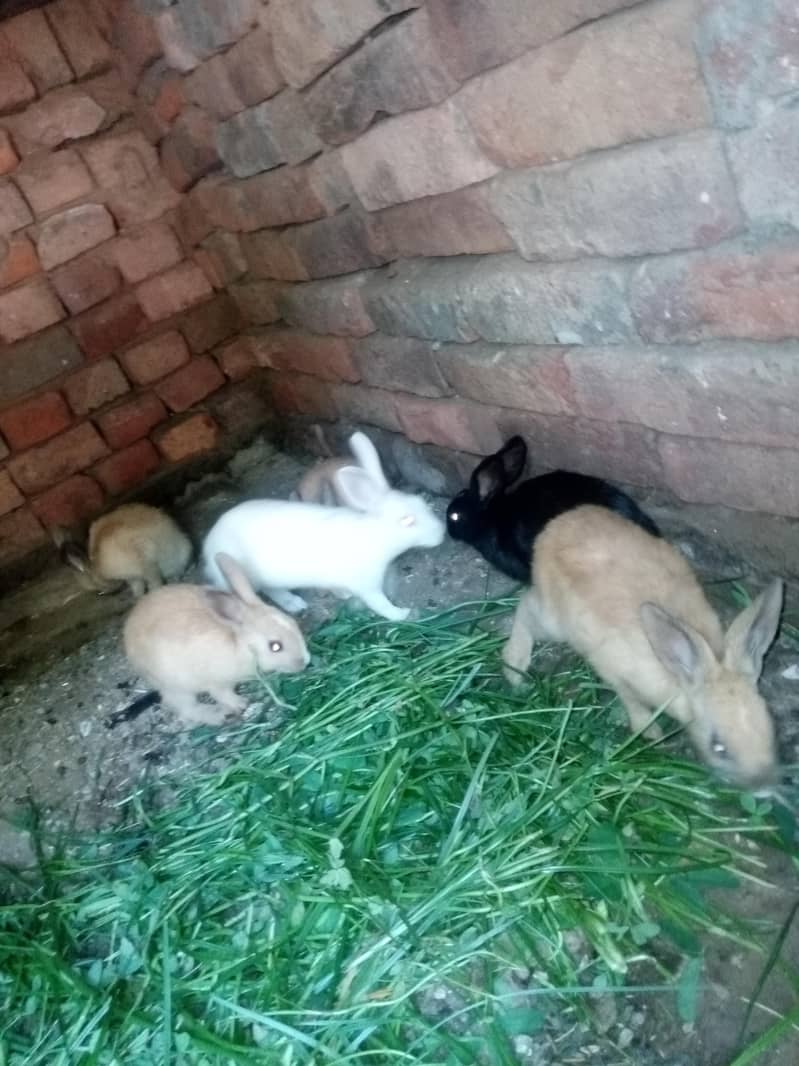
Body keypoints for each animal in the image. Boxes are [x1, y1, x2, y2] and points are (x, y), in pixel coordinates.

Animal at [54, 503, 192, 597]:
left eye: (98, 590)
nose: (102, 593)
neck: (95, 564)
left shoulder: (144, 563)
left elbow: (151, 582)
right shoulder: (133, 577)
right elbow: (138, 588)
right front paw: (138, 598)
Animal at [121, 552, 310, 726]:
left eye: (294, 624)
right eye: (275, 646)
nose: (305, 661)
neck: (240, 646)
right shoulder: (216, 682)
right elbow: (223, 694)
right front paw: (241, 704)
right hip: (176, 685)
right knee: (184, 707)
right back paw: (217, 715)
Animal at [202, 431, 445, 621]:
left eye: (422, 502)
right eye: (407, 520)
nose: (441, 532)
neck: (374, 534)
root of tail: (210, 543)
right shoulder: (367, 586)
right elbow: (380, 604)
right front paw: (402, 614)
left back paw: (295, 603)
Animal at [501, 504, 784, 788]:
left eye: (770, 725)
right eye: (719, 747)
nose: (765, 787)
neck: (680, 676)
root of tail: (557, 524)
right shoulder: (616, 672)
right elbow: (632, 702)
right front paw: (650, 733)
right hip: (554, 622)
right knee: (525, 607)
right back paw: (515, 666)